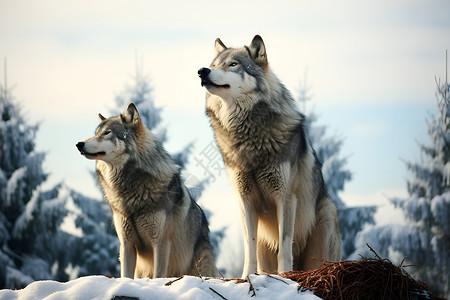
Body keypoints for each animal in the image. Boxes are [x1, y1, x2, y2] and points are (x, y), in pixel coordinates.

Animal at [75, 102, 218, 278]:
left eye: (107, 133)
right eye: (95, 134)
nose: (79, 144)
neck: (130, 188)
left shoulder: (161, 242)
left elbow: (158, 274)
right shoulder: (126, 244)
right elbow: (125, 275)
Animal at [197, 34, 342, 276]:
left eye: (233, 65)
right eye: (214, 65)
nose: (202, 71)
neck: (248, 135)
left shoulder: (286, 197)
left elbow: (284, 246)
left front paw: (285, 276)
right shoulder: (245, 200)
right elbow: (249, 247)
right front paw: (247, 277)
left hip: (326, 218)